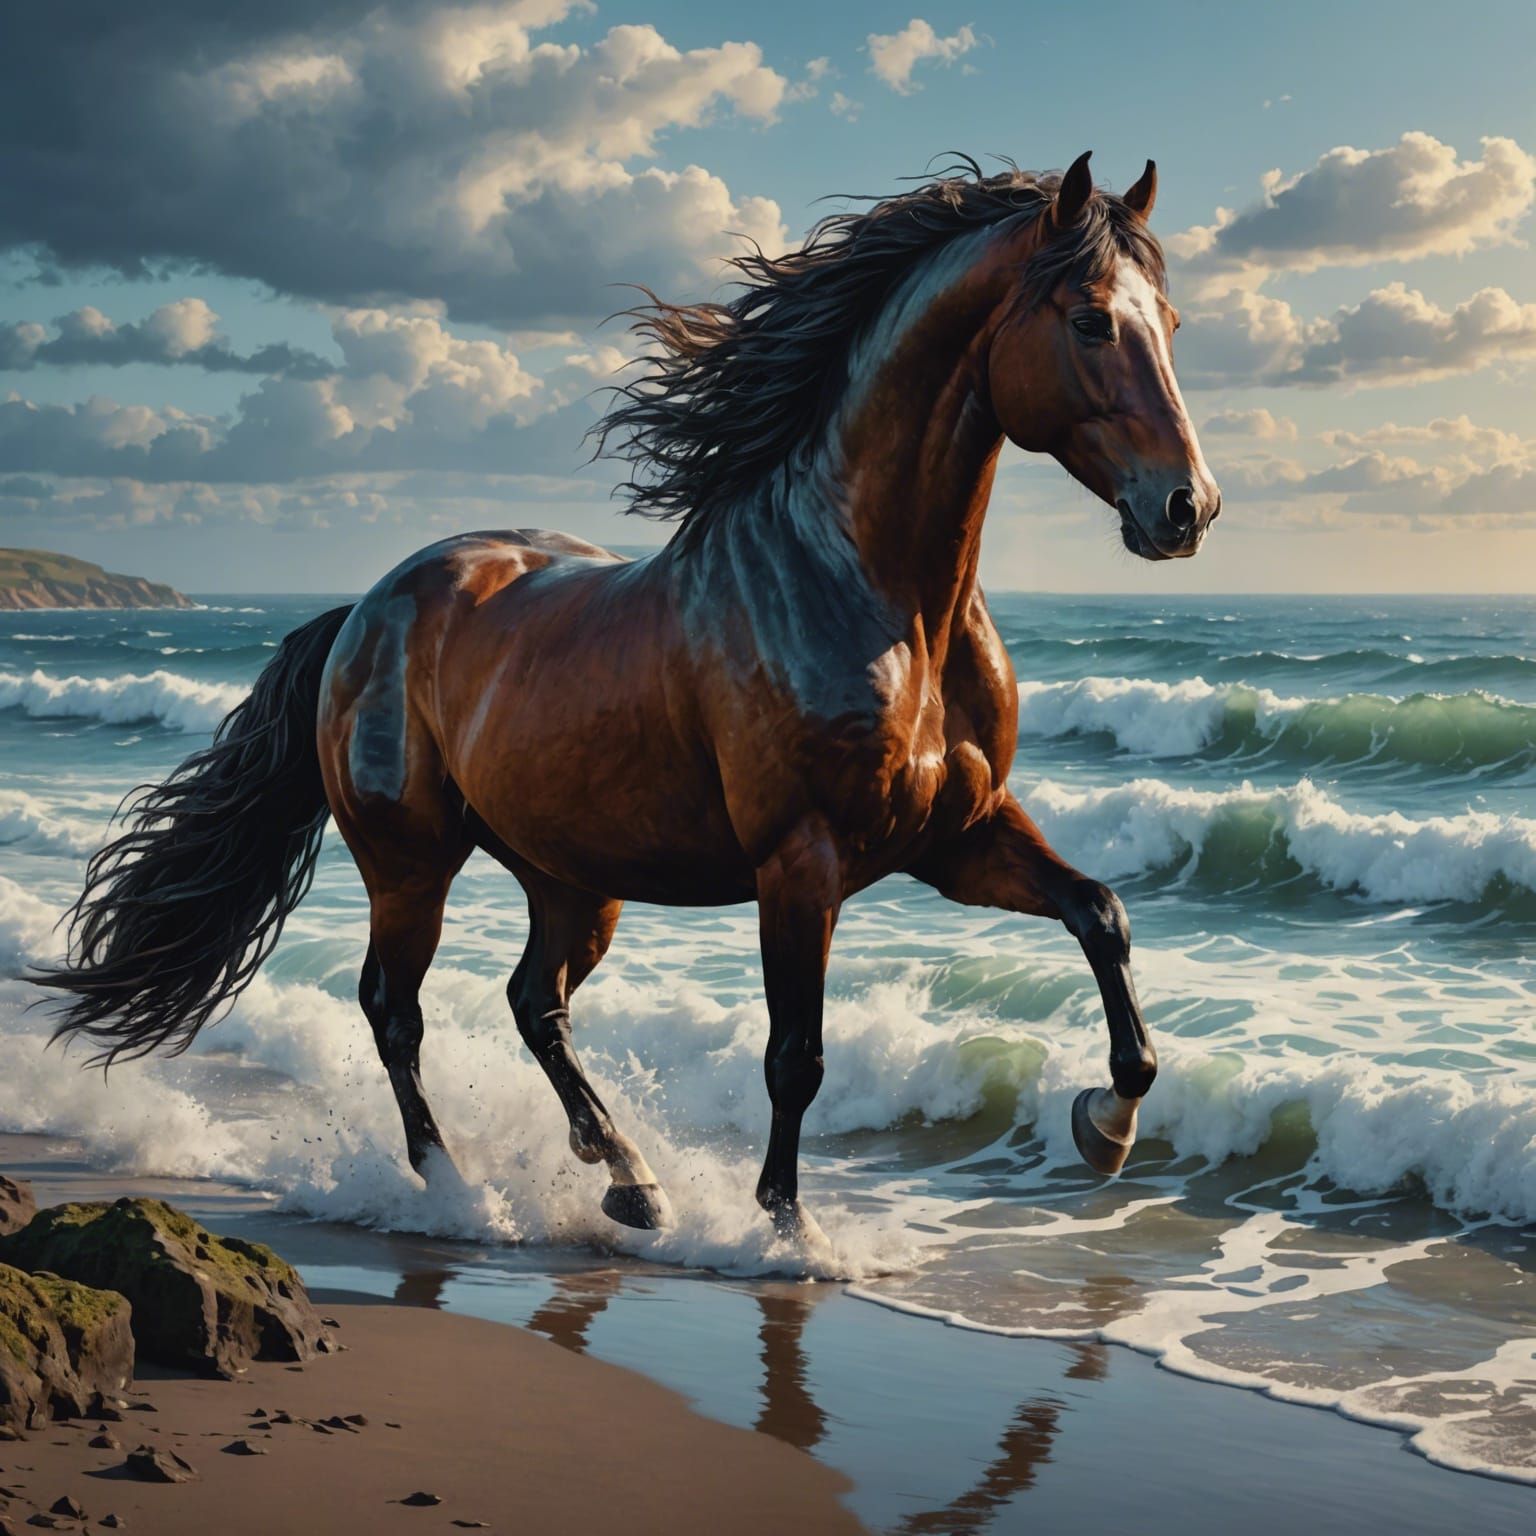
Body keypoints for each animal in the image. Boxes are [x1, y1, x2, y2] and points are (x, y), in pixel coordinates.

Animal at [33, 152, 1220, 1245]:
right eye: (1090, 321)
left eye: (1168, 321)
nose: (1188, 508)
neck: (874, 596)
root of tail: (364, 611)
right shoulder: (802, 861)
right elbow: (797, 1055)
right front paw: (787, 1232)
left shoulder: (958, 838)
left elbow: (1101, 915)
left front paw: (1106, 1123)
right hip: (411, 862)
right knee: (394, 1009)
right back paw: (459, 1187)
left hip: (570, 875)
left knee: (535, 1004)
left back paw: (631, 1179)